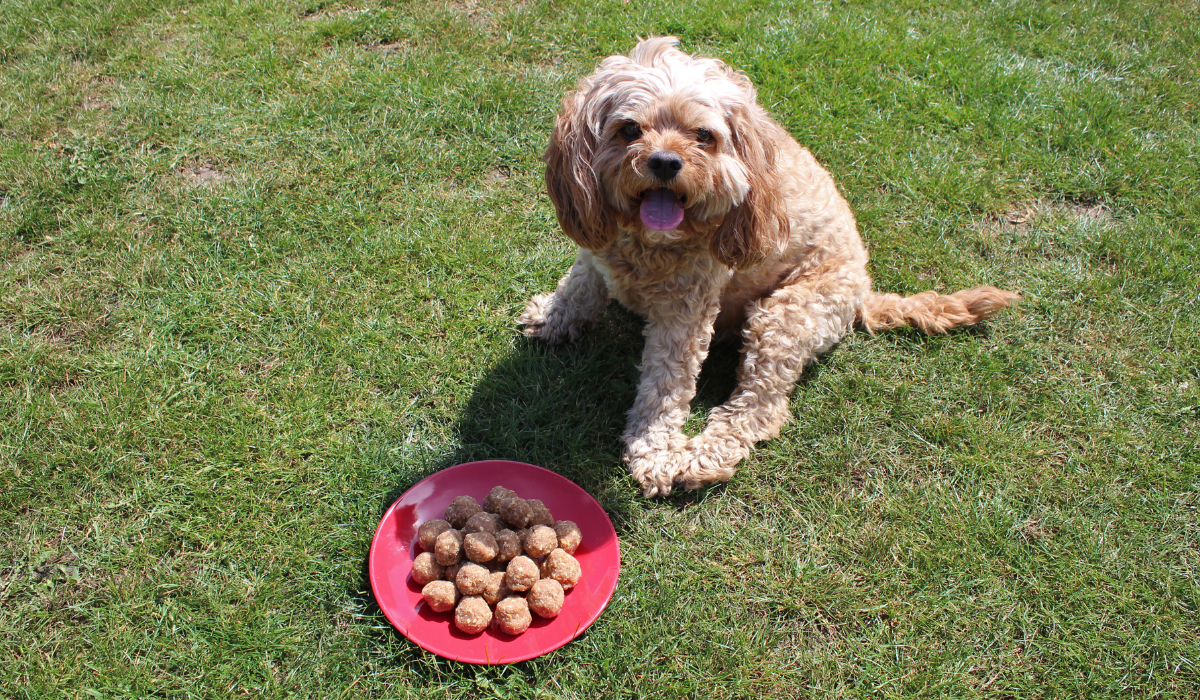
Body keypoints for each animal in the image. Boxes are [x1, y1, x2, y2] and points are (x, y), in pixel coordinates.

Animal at [520, 38, 1017, 499]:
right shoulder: (595, 251)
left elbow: (664, 389)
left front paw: (655, 452)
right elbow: (579, 287)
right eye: (628, 129)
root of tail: (864, 290)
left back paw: (705, 458)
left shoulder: (686, 314)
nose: (664, 162)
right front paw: (552, 318)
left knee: (760, 409)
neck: (648, 243)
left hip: (784, 317)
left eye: (704, 136)